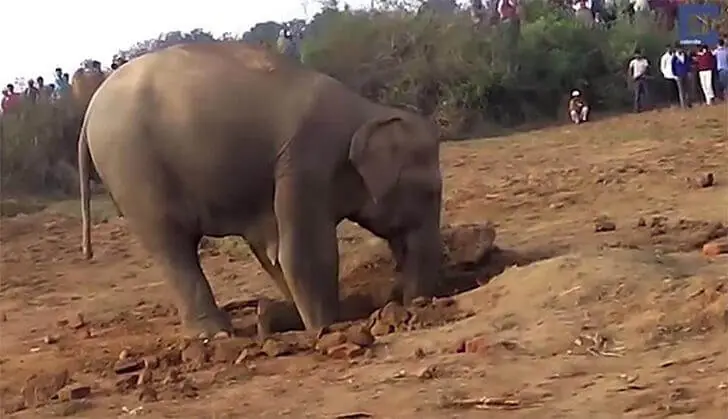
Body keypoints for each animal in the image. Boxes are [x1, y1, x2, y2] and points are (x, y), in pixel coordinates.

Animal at [78, 42, 443, 339]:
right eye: (430, 192)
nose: (416, 303)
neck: (367, 111)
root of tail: (89, 112)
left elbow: (274, 252)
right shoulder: (306, 160)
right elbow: (304, 253)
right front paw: (326, 327)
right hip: (134, 169)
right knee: (172, 246)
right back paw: (214, 334)